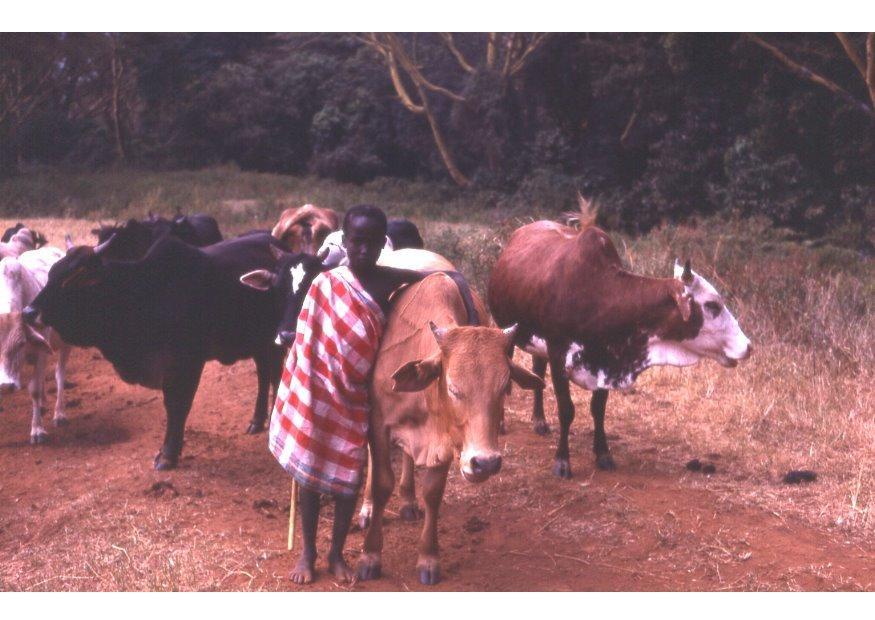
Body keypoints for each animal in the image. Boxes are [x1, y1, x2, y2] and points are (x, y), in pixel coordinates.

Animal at [0, 245, 72, 444]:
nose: (5, 386)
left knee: (59, 374)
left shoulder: (41, 353)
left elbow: (34, 389)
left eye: (21, 343)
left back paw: (59, 413)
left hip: (65, 344)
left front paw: (37, 430)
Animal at [26, 232, 322, 470]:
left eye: (73, 278)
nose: (29, 311)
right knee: (263, 373)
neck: (143, 293)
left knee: (272, 374)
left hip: (271, 339)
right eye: (51, 273)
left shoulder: (187, 362)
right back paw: (257, 420)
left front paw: (168, 454)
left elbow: (177, 405)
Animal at [356, 272, 540, 588]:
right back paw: (368, 508)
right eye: (453, 388)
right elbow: (381, 484)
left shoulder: (443, 439)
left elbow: (432, 493)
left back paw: (408, 500)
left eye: (504, 387)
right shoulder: (379, 424)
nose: (485, 462)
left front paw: (428, 558)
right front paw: (370, 555)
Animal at [486, 216, 752, 478]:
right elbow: (566, 410)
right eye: (712, 305)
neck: (598, 295)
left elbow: (598, 409)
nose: (748, 346)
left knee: (538, 371)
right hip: (507, 331)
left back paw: (539, 421)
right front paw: (562, 461)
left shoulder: (607, 359)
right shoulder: (559, 354)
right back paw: (501, 424)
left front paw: (603, 454)